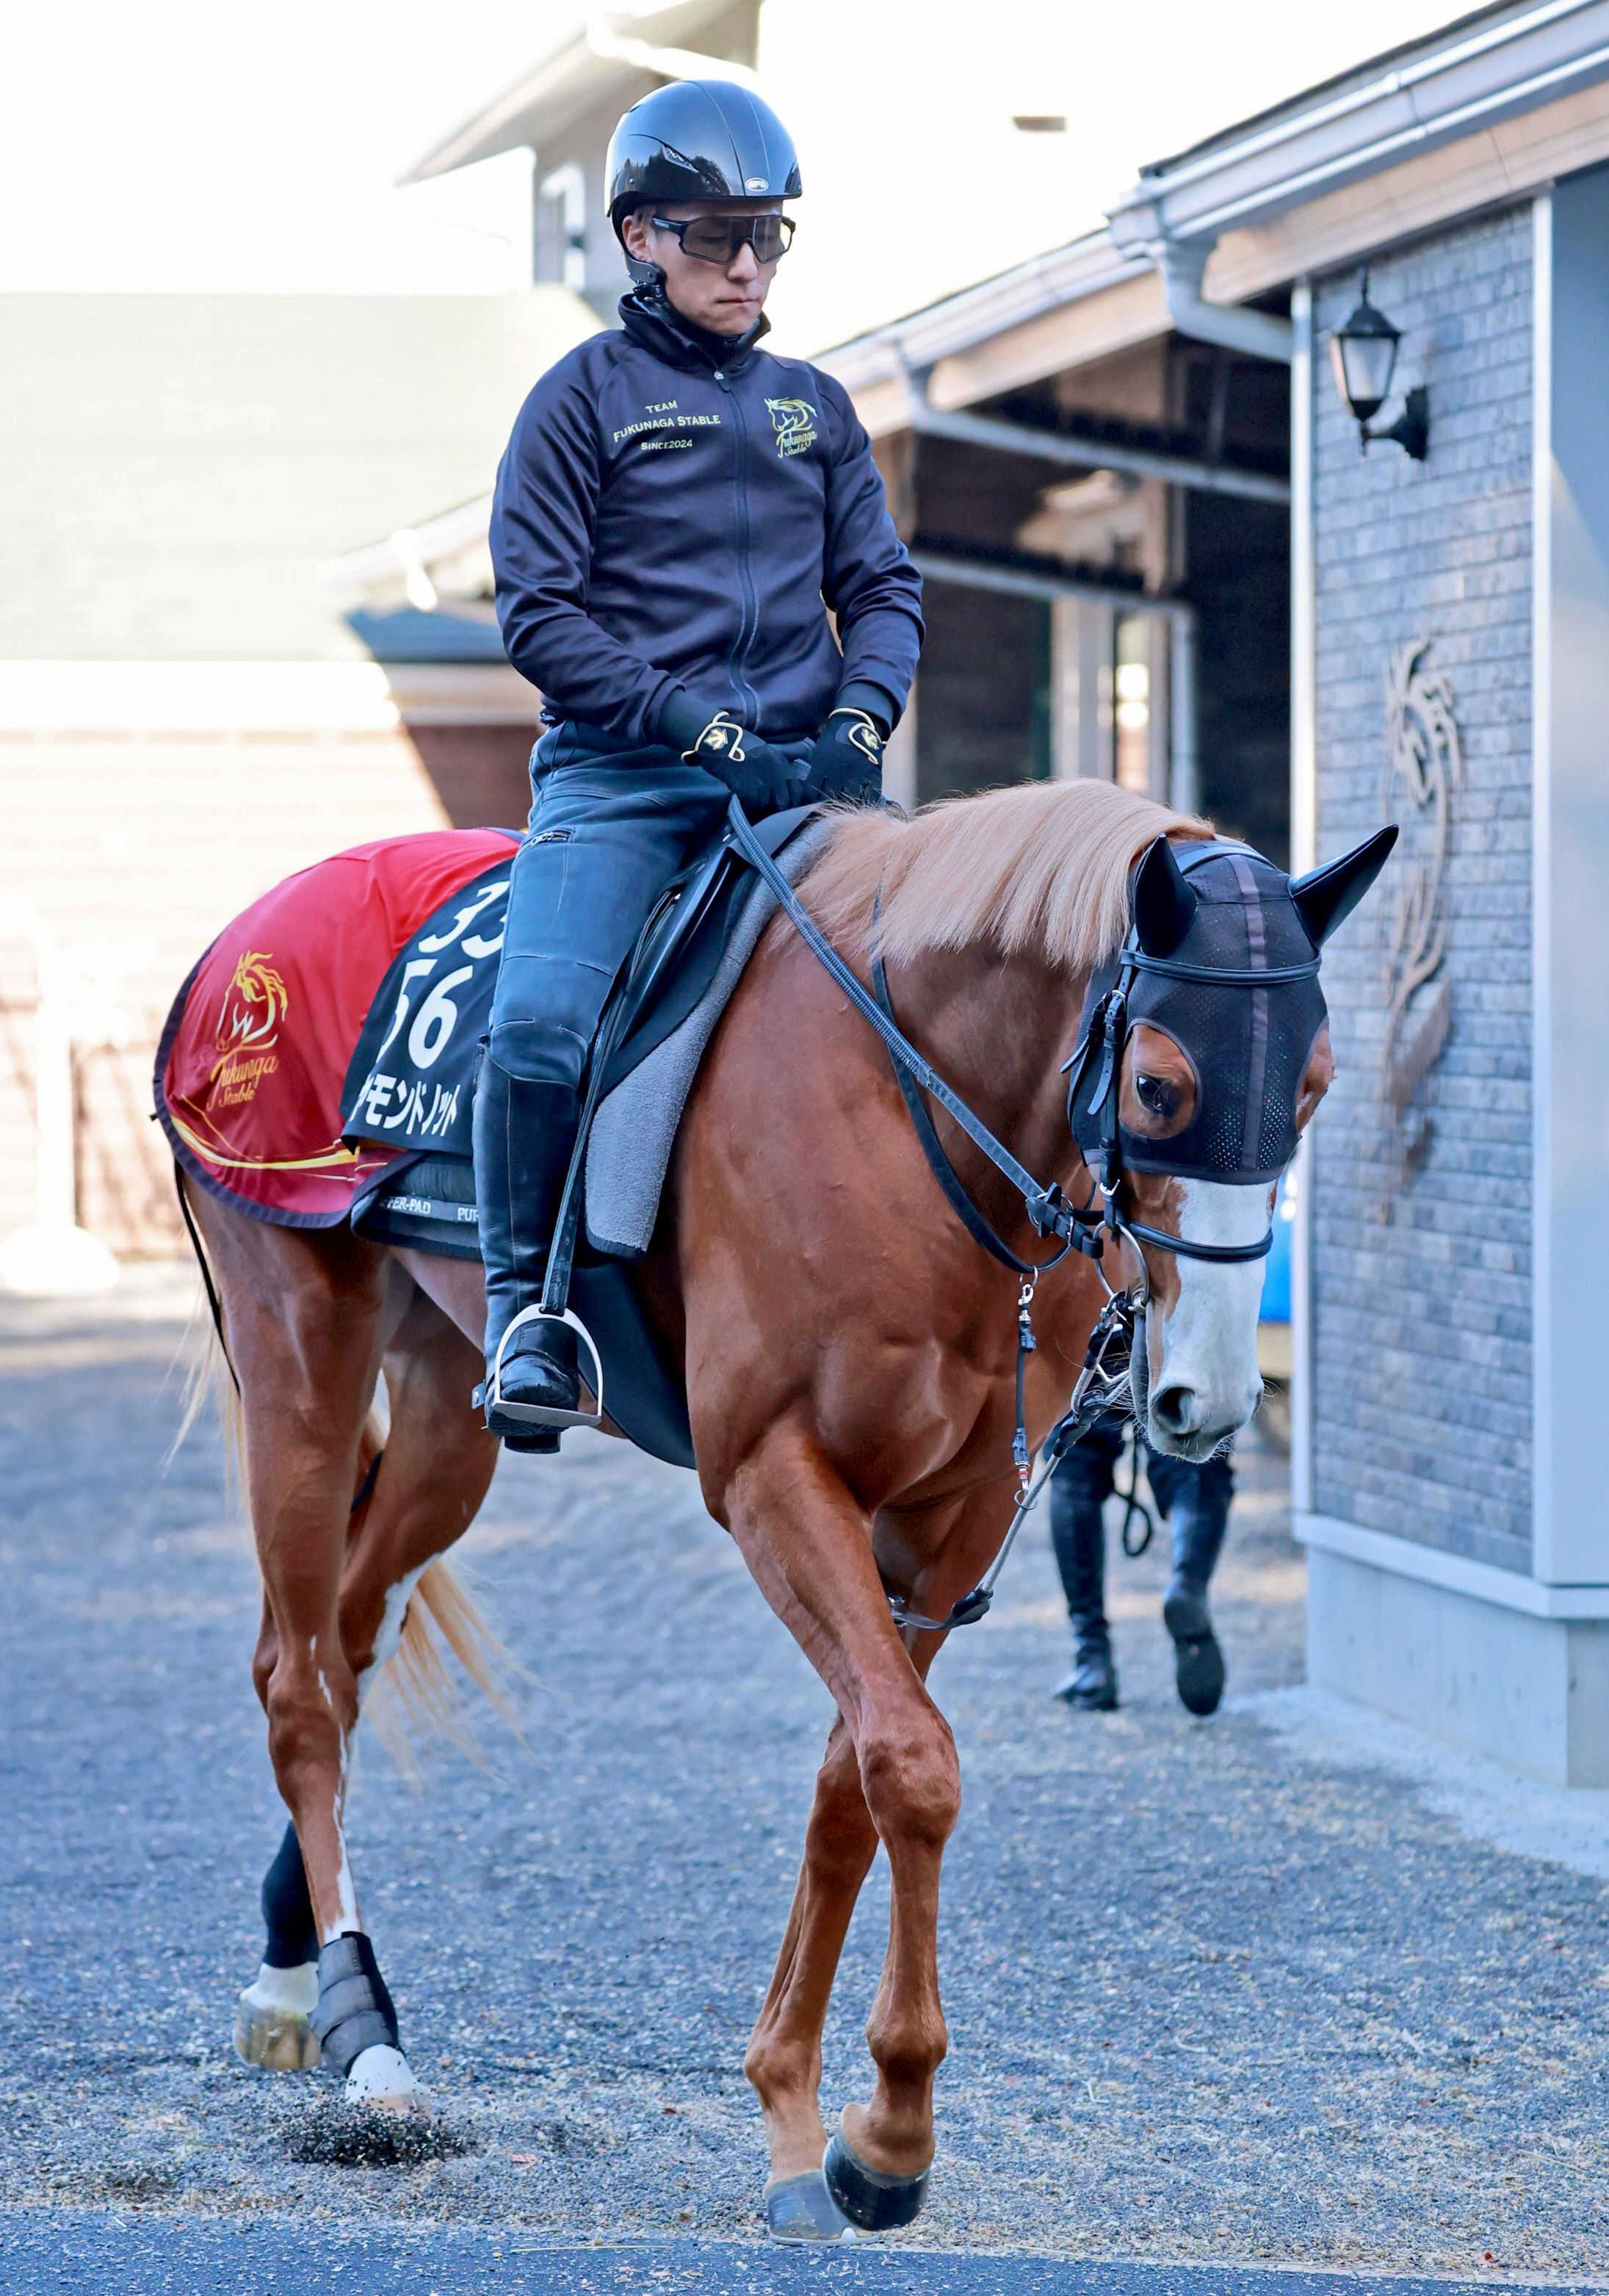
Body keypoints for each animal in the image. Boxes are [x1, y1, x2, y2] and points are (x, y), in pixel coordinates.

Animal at [171, 775, 1389, 2238]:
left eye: (1312, 1088)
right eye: (1159, 1083)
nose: (1205, 1396)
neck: (909, 1106)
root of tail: (236, 947)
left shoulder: (952, 1516)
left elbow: (853, 1777)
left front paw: (812, 2119)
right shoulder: (773, 1474)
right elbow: (908, 1765)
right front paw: (890, 2130)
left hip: (441, 1408)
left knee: (347, 1649)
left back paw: (293, 1972)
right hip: (301, 1353)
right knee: (297, 1680)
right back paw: (369, 2036)